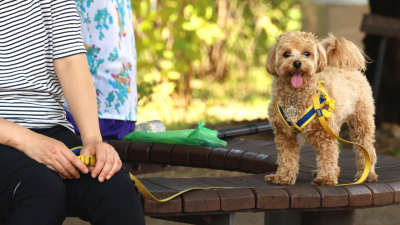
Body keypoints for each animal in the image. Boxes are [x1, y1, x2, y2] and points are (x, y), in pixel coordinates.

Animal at [266, 31, 378, 186]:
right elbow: (286, 158)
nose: (297, 63)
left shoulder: (325, 135)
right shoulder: (284, 134)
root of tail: (346, 67)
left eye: (306, 53)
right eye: (286, 54)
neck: (296, 98)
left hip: (361, 122)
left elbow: (327, 156)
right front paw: (283, 177)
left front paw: (326, 179)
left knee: (366, 148)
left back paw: (366, 174)